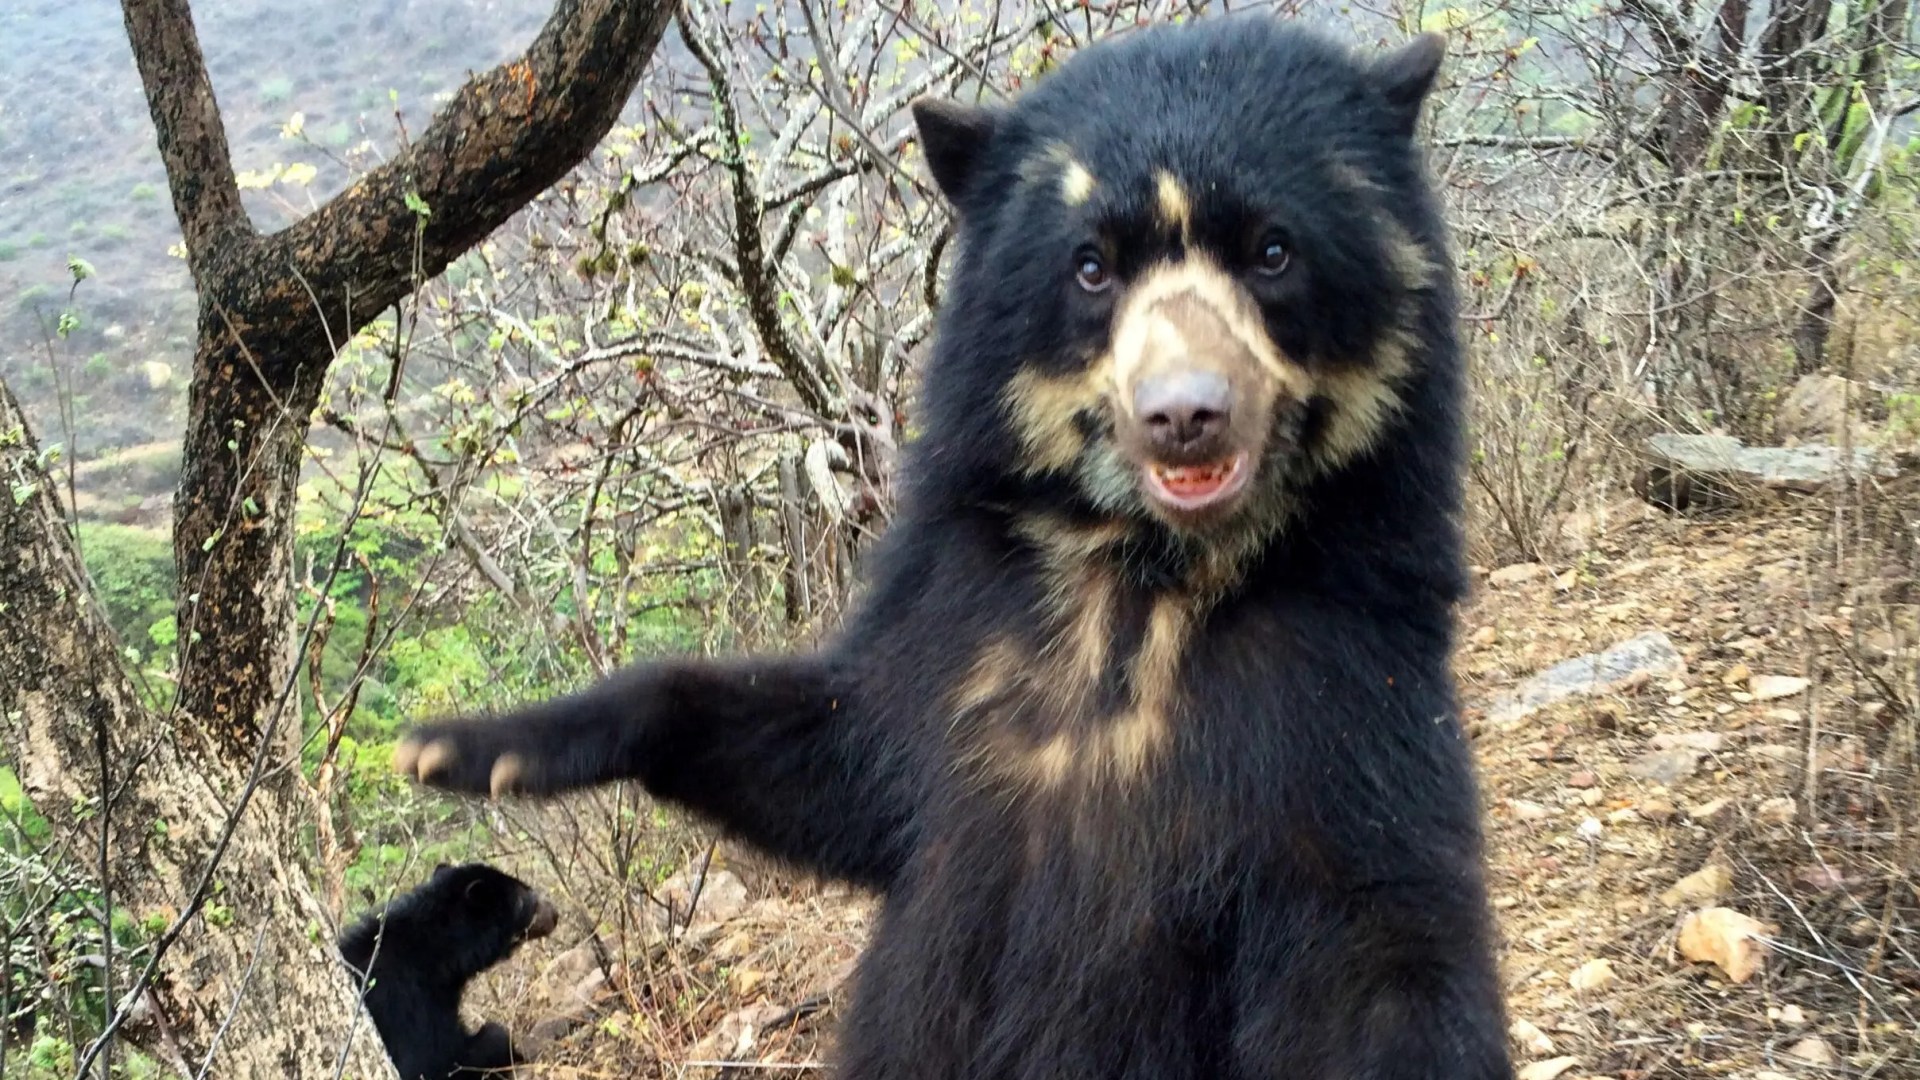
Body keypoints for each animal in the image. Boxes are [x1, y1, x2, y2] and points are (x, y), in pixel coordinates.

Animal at [397, 16, 1520, 1076]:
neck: (1140, 577)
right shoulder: (955, 635)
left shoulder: (1342, 689)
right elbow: (831, 760)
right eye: (1091, 266)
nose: (1185, 418)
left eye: (1273, 251)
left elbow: (1378, 954)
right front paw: (471, 749)